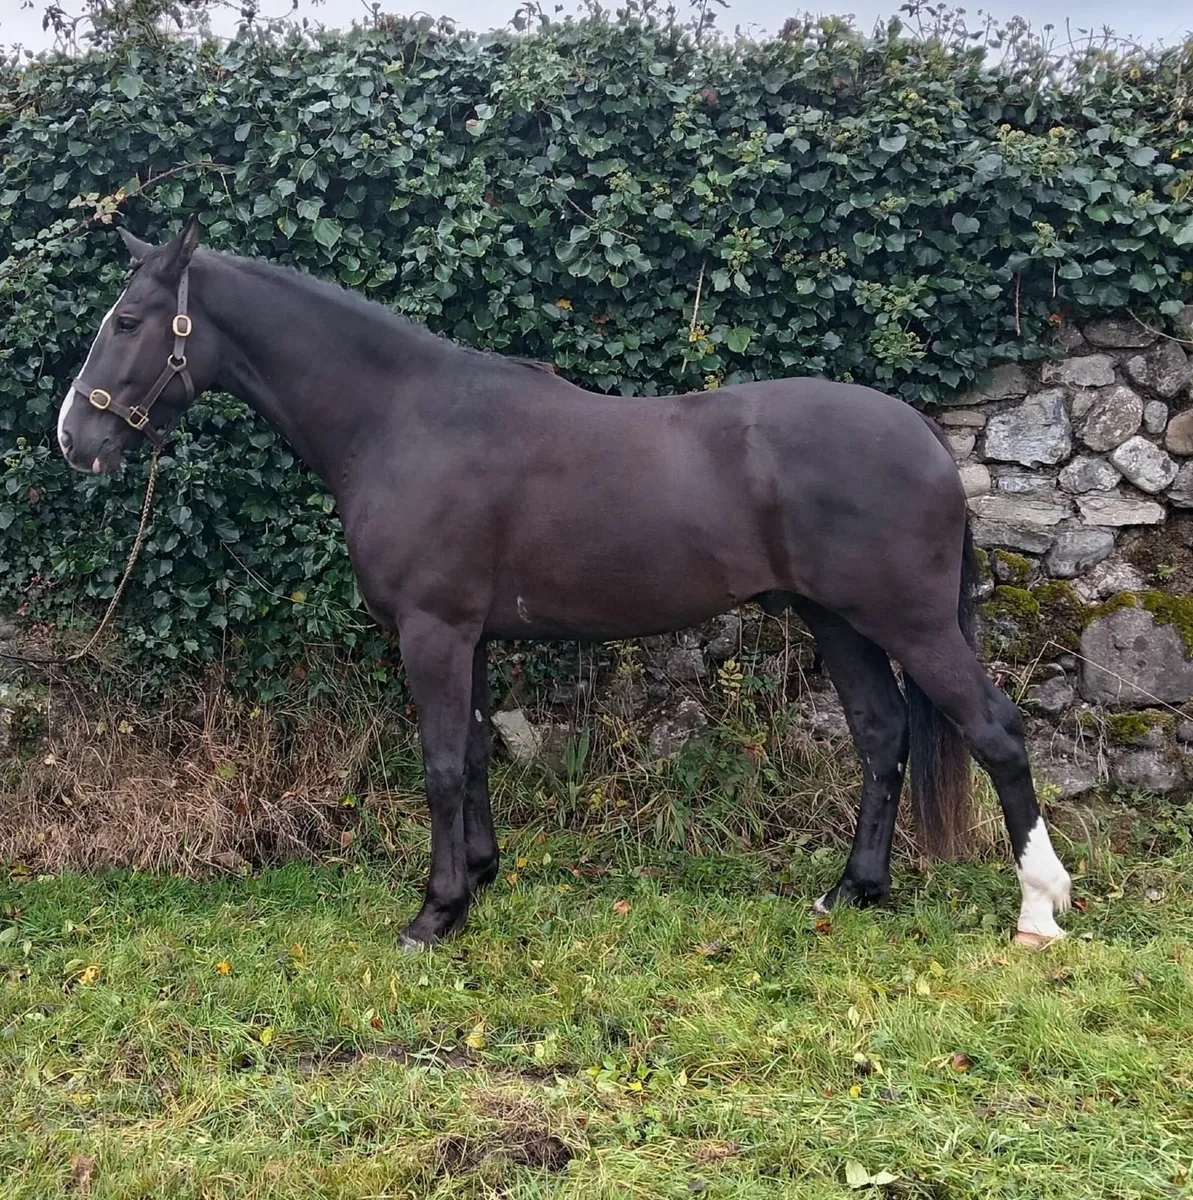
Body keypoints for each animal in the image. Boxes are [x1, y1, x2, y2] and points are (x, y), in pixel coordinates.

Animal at [56, 216, 1072, 949]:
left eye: (128, 322)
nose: (75, 436)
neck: (405, 419)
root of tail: (921, 434)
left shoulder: (432, 628)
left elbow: (438, 763)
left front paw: (434, 914)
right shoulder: (466, 635)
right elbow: (470, 756)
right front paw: (477, 878)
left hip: (909, 622)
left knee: (995, 731)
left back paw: (1036, 909)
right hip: (837, 621)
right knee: (880, 734)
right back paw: (852, 891)